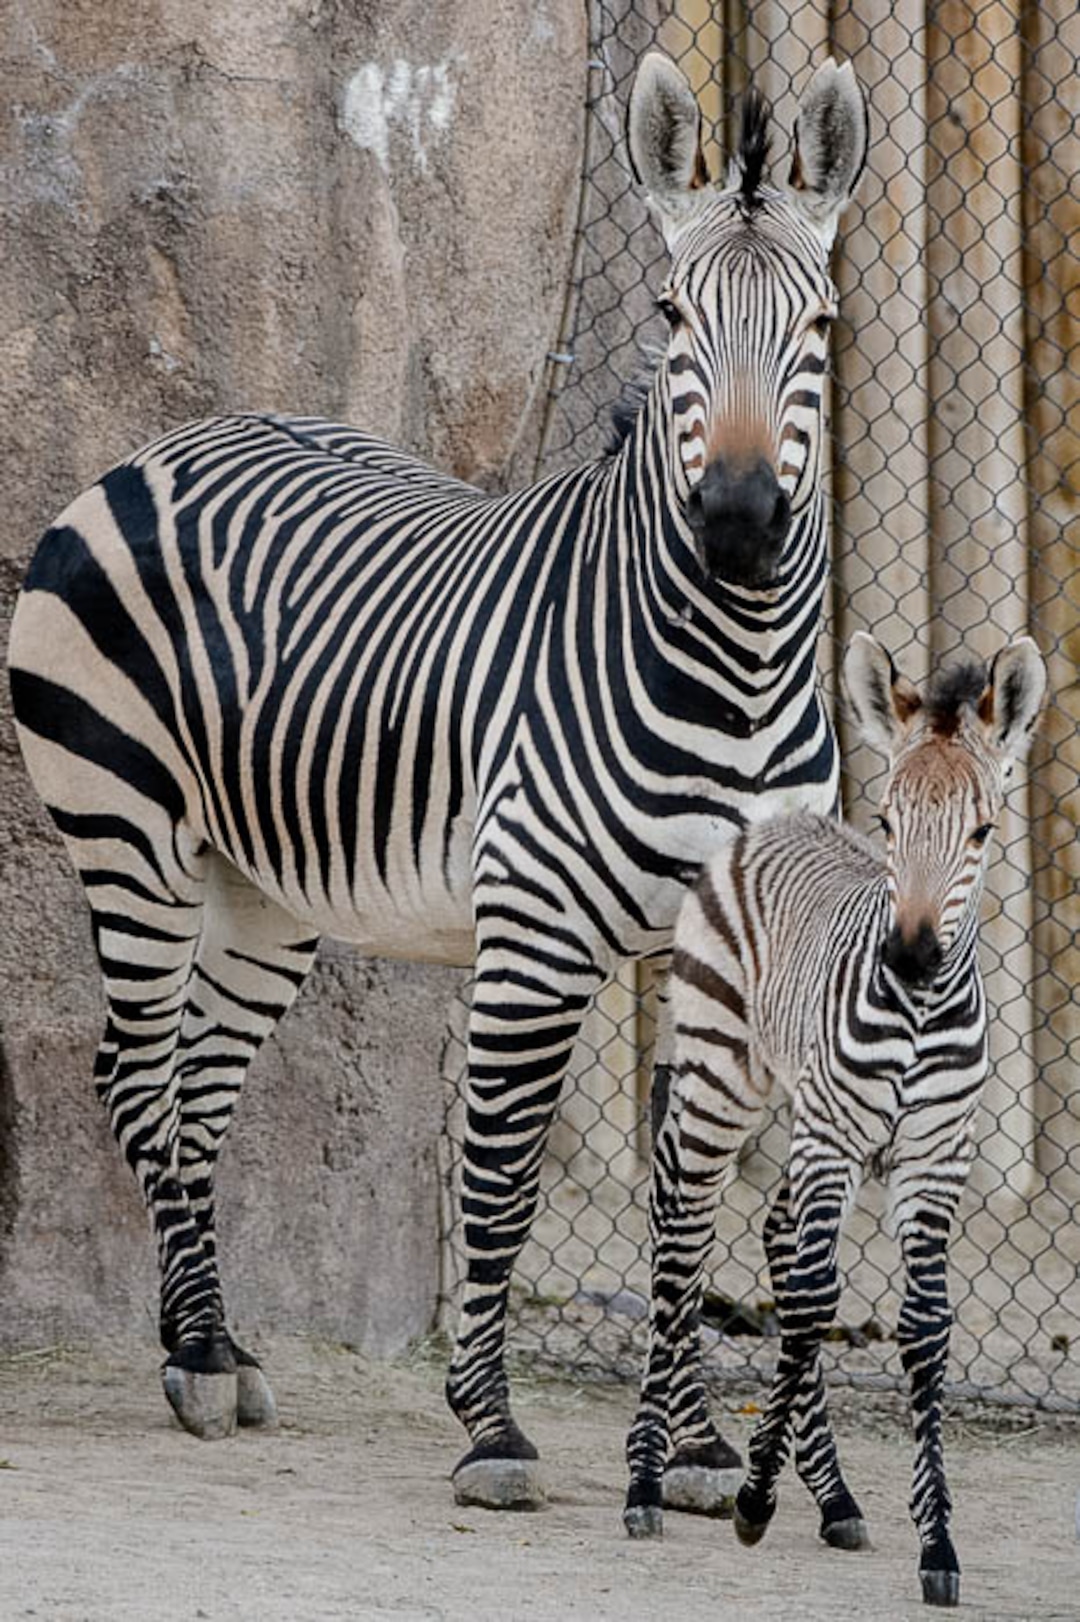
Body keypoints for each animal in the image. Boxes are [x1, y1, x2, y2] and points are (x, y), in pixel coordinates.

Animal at [7, 51, 867, 1510]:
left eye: (817, 326)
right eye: (669, 313)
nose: (743, 524)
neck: (739, 672)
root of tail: (162, 446)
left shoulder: (733, 945)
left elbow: (690, 1188)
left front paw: (696, 1445)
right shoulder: (535, 932)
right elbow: (502, 1181)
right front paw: (493, 1426)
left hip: (267, 886)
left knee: (198, 1082)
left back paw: (217, 1337)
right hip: (131, 833)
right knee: (134, 1071)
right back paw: (193, 1356)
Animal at [624, 630, 1046, 1607]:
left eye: (982, 832)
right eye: (887, 823)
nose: (913, 955)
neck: (919, 1012)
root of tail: (771, 823)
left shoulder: (934, 1157)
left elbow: (923, 1326)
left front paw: (936, 1545)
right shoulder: (838, 1135)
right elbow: (816, 1298)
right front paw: (751, 1499)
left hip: (800, 1114)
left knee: (778, 1235)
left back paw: (836, 1497)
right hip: (723, 1080)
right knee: (683, 1245)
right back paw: (645, 1484)